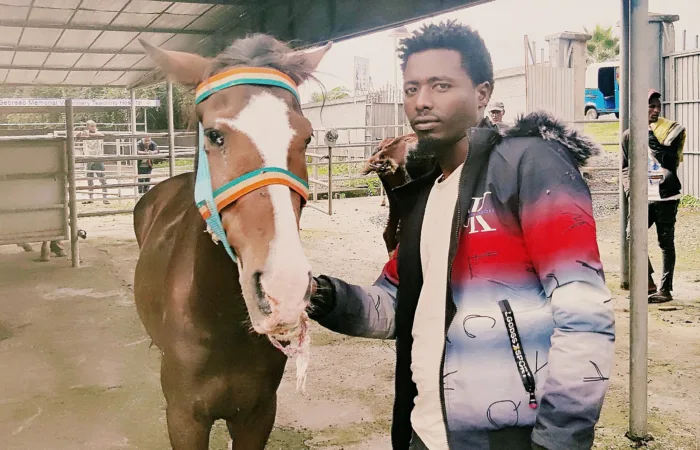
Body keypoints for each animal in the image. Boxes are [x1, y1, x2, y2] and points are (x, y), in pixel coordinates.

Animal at [132, 34, 331, 450]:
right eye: (214, 135)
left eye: (306, 137)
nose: (283, 291)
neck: (218, 318)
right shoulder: (184, 419)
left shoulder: (257, 414)